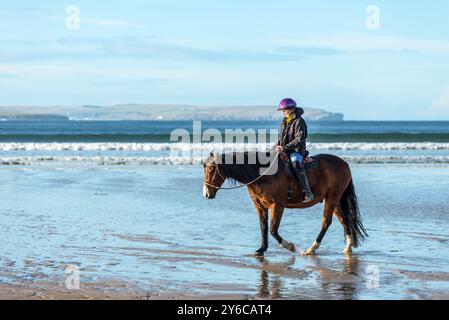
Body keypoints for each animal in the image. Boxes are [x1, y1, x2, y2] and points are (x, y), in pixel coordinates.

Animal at [203, 151, 368, 258]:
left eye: (211, 169)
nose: (206, 194)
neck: (262, 174)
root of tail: (344, 164)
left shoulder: (277, 205)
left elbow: (273, 229)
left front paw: (290, 246)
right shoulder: (259, 206)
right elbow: (263, 227)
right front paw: (261, 249)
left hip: (332, 198)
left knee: (326, 222)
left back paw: (312, 249)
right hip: (335, 200)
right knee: (344, 220)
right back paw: (347, 247)